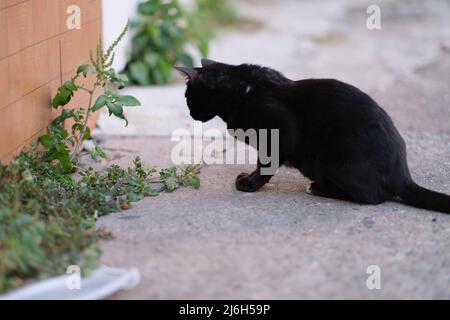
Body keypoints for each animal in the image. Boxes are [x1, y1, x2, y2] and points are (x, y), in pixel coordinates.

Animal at [176, 60, 450, 215]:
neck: (242, 90)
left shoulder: (279, 135)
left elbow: (265, 166)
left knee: (373, 196)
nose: (190, 113)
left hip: (332, 156)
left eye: (188, 97)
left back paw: (317, 187)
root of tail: (402, 175)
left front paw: (249, 184)